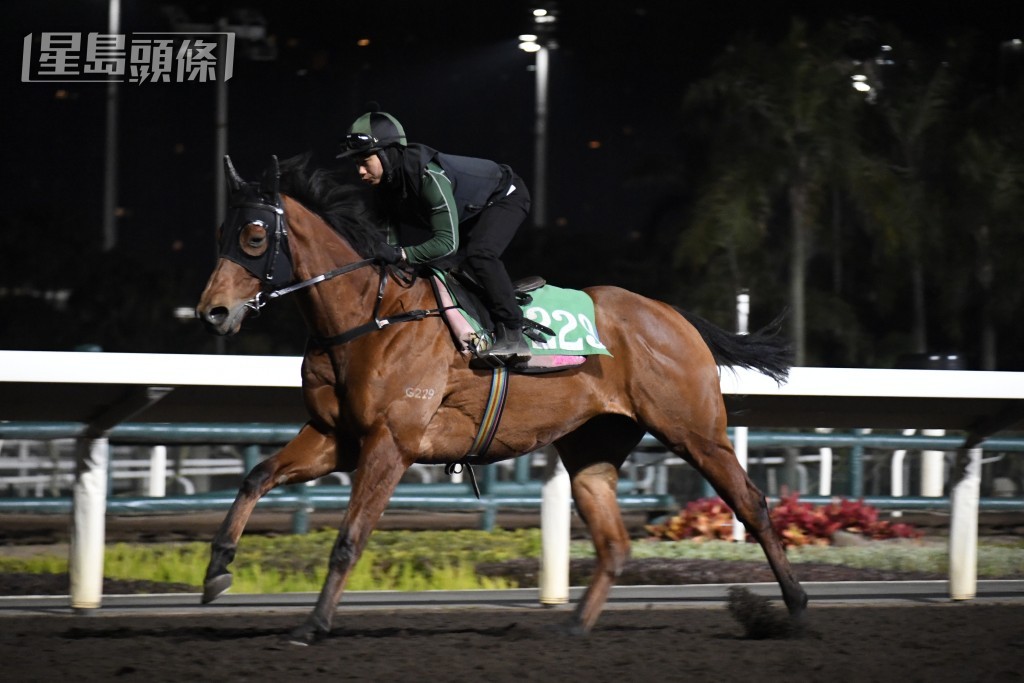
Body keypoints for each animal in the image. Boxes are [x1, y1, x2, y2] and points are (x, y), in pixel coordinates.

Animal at [193, 154, 806, 647]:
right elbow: (256, 477)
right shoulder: (334, 437)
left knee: (752, 503)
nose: (212, 313)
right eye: (220, 231)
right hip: (592, 448)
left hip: (694, 430)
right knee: (614, 543)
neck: (370, 315)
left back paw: (795, 606)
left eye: (253, 237)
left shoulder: (391, 442)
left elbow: (350, 537)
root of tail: (674, 316)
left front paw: (313, 624)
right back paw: (574, 626)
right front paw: (217, 570)